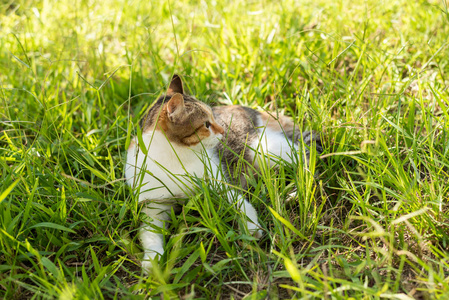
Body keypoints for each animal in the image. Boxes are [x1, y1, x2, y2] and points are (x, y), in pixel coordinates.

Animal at [126, 74, 320, 272]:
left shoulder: (218, 183)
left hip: (265, 149)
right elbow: (150, 232)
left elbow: (241, 204)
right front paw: (152, 259)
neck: (174, 159)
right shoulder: (154, 205)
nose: (222, 130)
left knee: (307, 158)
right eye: (206, 124)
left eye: (213, 117)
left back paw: (296, 193)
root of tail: (255, 111)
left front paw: (251, 228)